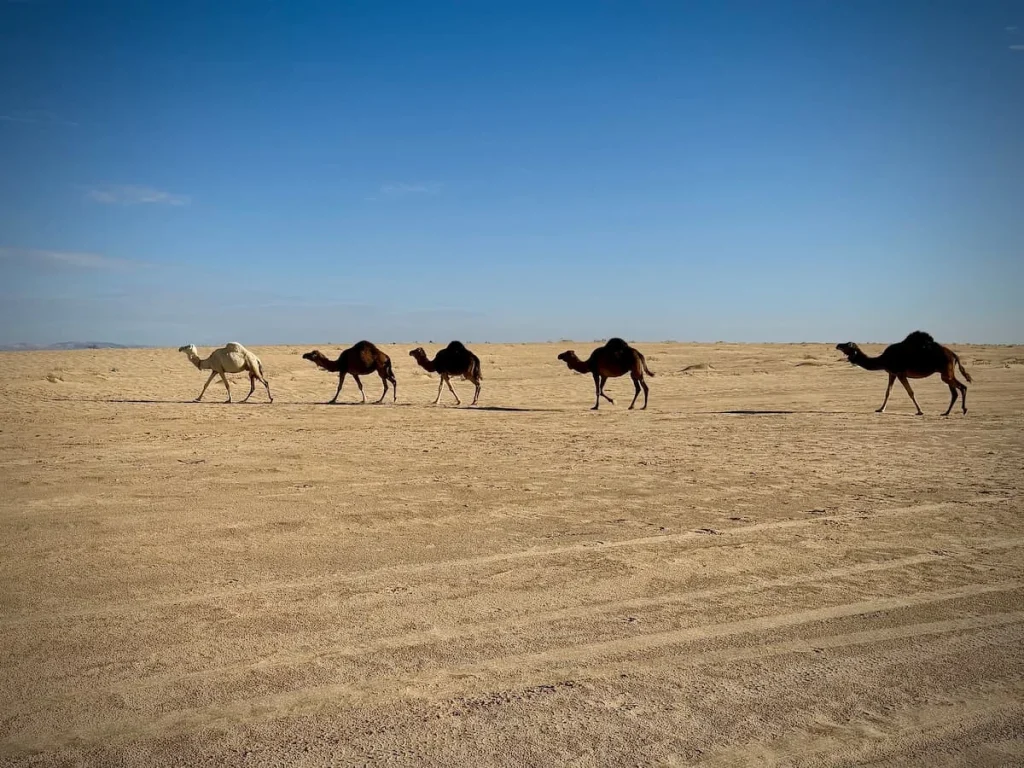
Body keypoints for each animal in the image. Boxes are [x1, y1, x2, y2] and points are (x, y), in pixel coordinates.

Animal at [836, 331, 972, 416]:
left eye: (848, 345)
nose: (838, 345)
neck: (883, 359)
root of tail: (953, 354)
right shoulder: (892, 373)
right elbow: (888, 392)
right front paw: (880, 409)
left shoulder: (900, 373)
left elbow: (910, 392)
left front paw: (920, 411)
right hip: (946, 373)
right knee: (955, 392)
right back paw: (946, 412)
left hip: (946, 373)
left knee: (962, 387)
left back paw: (964, 410)